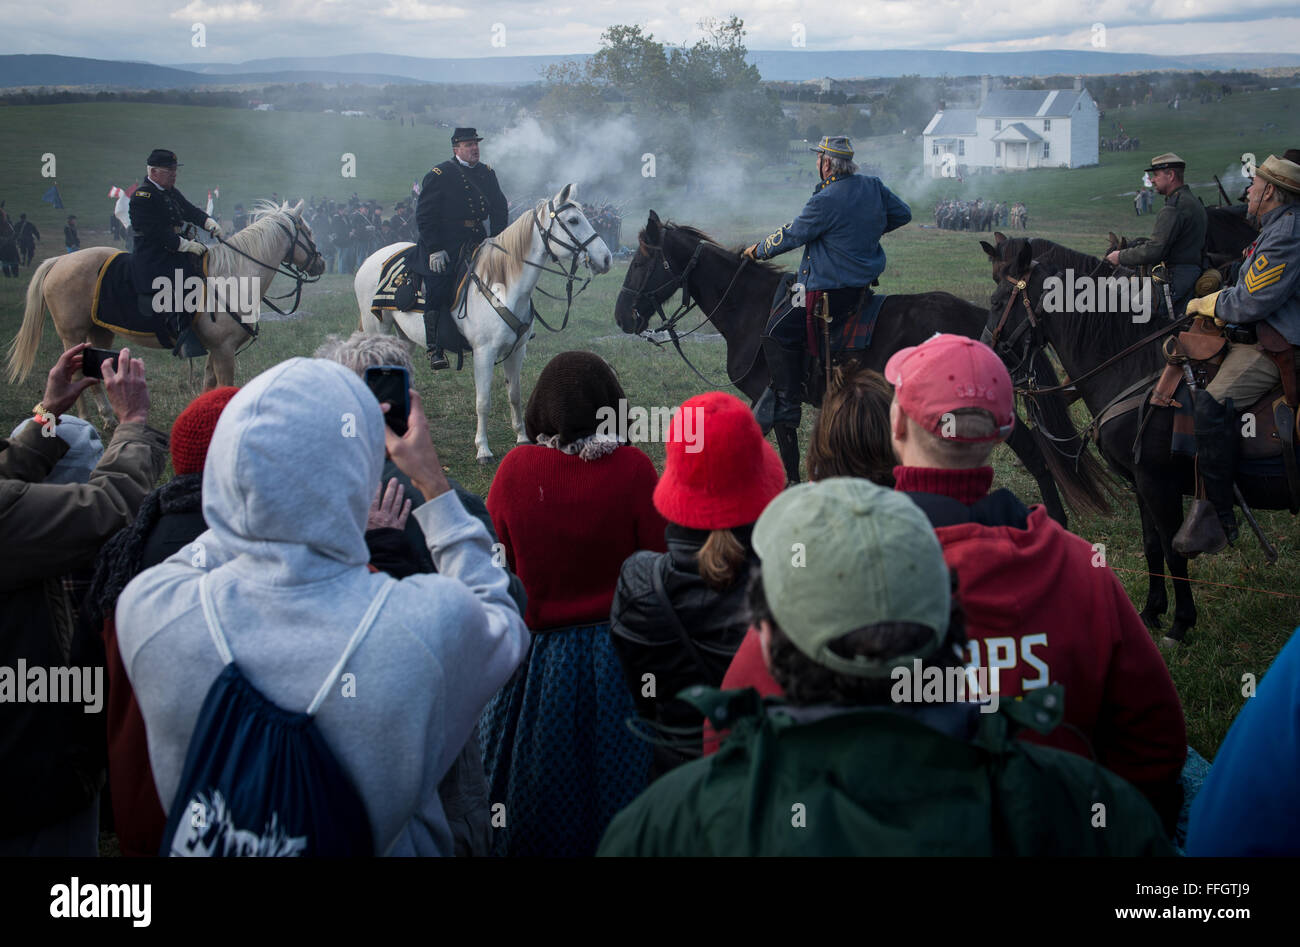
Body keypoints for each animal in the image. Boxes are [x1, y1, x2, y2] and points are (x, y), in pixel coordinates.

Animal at [6, 200, 325, 418]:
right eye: (308, 231)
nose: (321, 263)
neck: (233, 276)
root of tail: (59, 261)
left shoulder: (215, 349)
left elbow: (209, 385)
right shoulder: (223, 351)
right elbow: (224, 386)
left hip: (100, 332)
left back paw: (109, 417)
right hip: (72, 334)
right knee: (72, 374)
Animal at [356, 180, 613, 463]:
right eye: (574, 220)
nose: (606, 258)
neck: (504, 287)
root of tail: (370, 259)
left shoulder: (517, 351)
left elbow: (515, 394)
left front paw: (521, 437)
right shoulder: (483, 353)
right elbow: (483, 401)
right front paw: (483, 449)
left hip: (404, 338)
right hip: (377, 328)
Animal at [613, 208, 1112, 528]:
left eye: (639, 260)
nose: (623, 317)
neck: (750, 308)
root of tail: (982, 322)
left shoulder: (776, 401)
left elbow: (789, 460)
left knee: (1031, 451)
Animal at [977, 235, 1294, 642]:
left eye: (997, 300)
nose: (985, 352)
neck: (1133, 364)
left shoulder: (1158, 482)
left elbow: (1173, 550)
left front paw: (1180, 622)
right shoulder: (1140, 481)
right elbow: (1152, 545)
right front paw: (1151, 612)